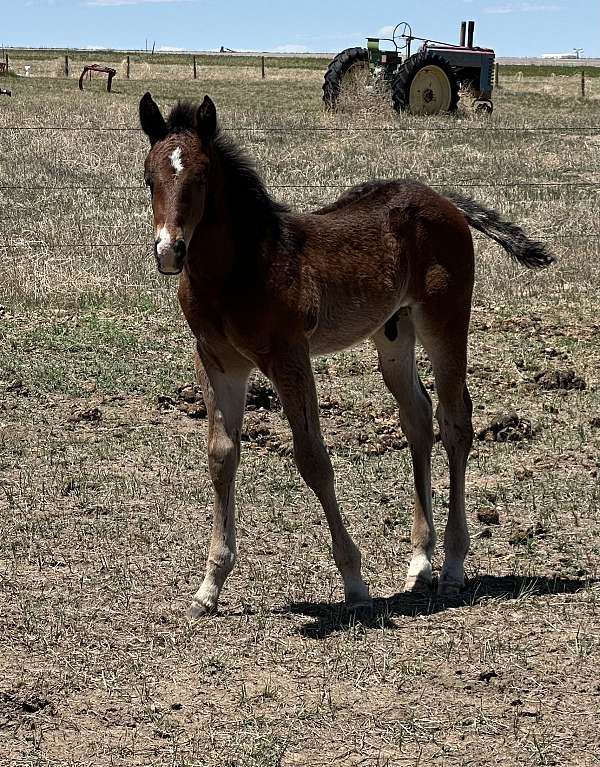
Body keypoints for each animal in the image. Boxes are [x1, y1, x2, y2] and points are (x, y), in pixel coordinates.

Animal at [139, 92, 553, 617]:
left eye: (201, 179)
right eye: (150, 178)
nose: (169, 251)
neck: (240, 268)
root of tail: (444, 200)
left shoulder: (289, 357)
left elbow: (312, 458)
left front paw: (354, 583)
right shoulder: (218, 362)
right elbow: (221, 456)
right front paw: (209, 587)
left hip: (445, 320)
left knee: (456, 420)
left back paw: (453, 569)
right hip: (394, 333)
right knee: (418, 418)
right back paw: (420, 563)